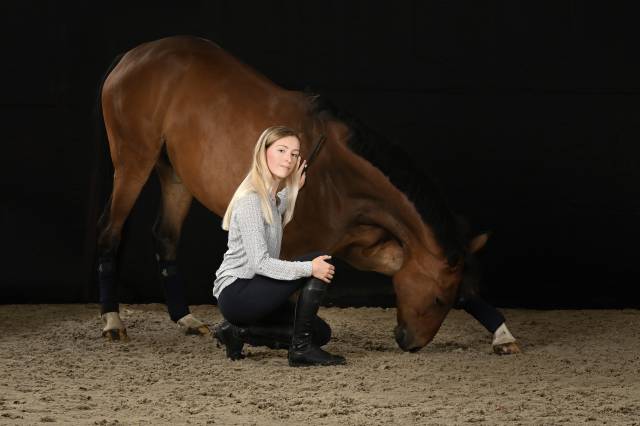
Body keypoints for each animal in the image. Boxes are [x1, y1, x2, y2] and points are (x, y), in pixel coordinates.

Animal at [96, 35, 520, 354]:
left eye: (454, 301)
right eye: (437, 300)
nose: (410, 343)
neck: (336, 174)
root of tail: (132, 56)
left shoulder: (363, 247)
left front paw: (502, 334)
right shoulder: (297, 249)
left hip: (176, 177)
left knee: (165, 238)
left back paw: (185, 318)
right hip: (133, 163)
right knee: (109, 233)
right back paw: (112, 321)